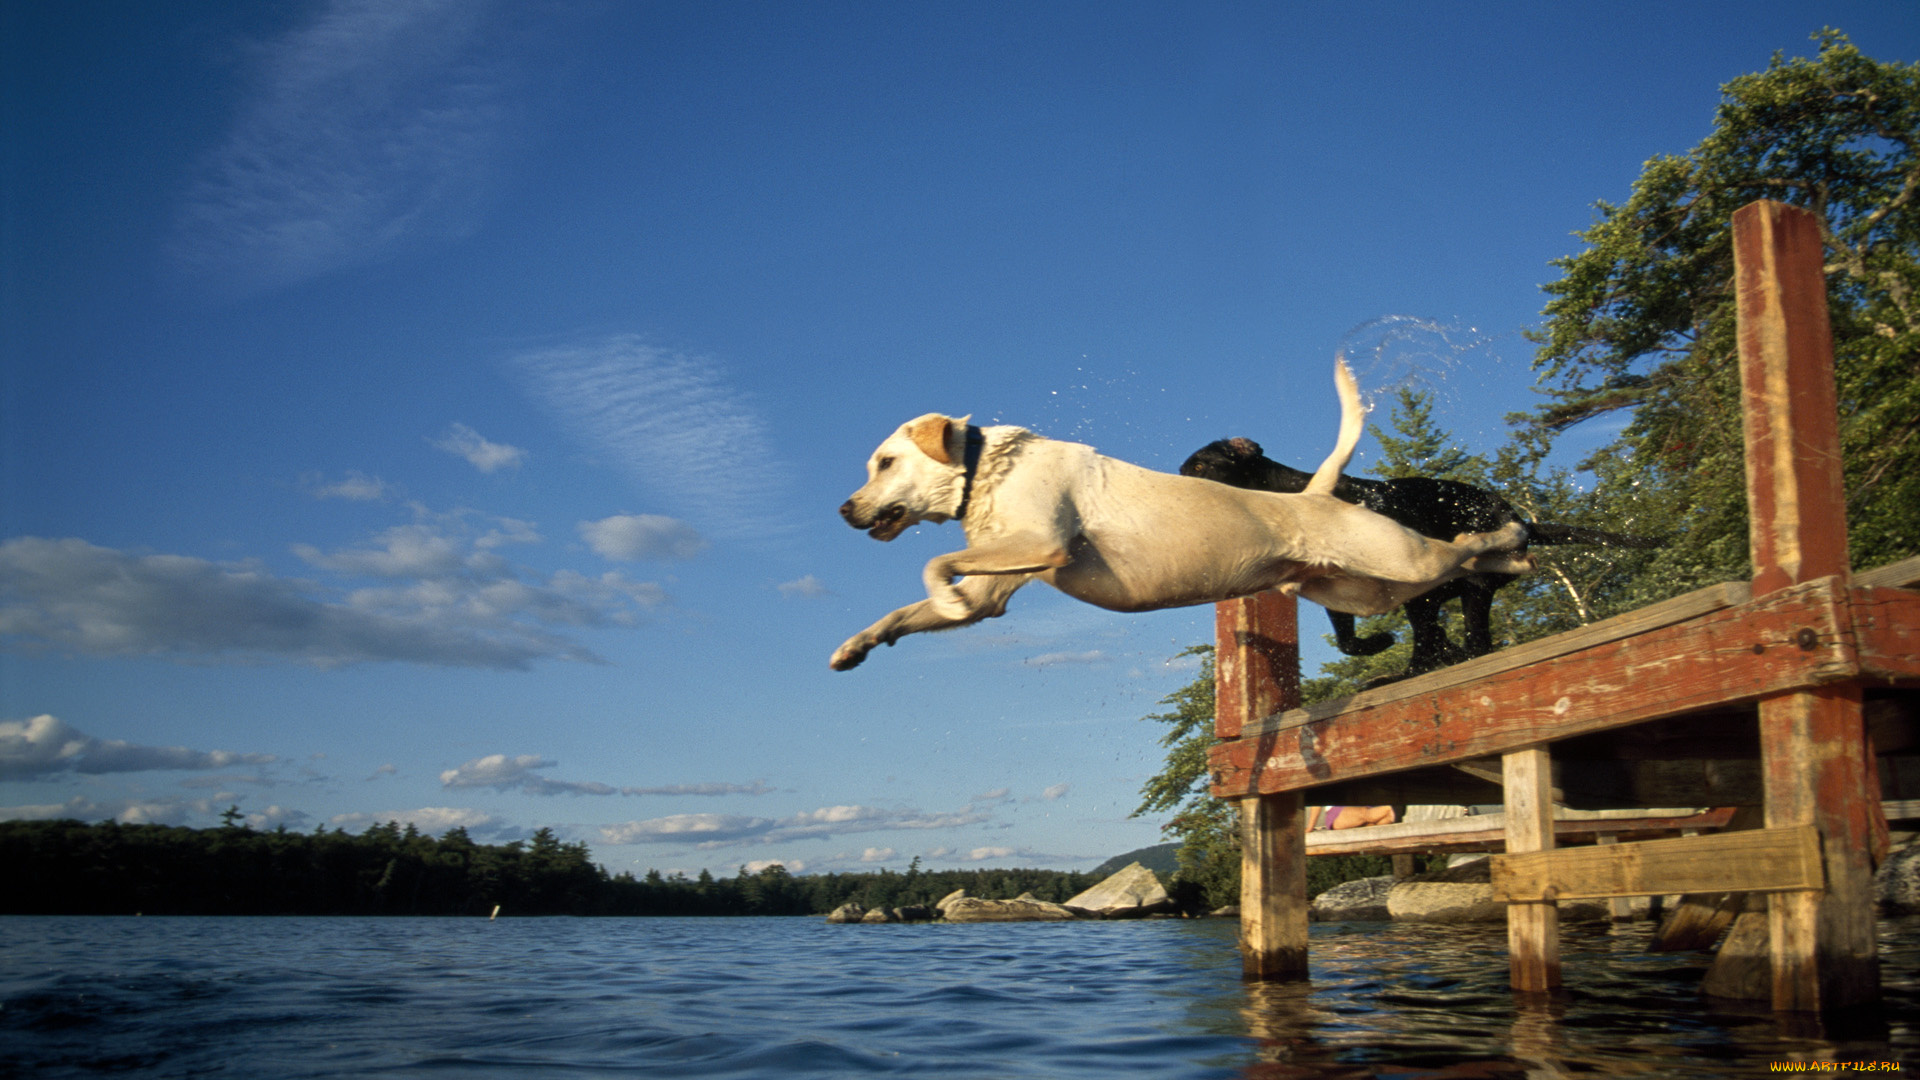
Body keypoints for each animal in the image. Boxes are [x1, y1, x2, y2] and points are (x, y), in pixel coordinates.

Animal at [833, 359, 1536, 664]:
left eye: (885, 463)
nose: (843, 509)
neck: (984, 467)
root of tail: (1312, 494)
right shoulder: (994, 592)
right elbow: (905, 612)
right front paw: (854, 647)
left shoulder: (1041, 541)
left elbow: (934, 564)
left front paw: (942, 598)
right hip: (1365, 592)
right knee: (1445, 583)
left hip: (1403, 558)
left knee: (1465, 549)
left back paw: (1513, 538)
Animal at [1175, 434, 1658, 672]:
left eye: (1199, 467)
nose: (1174, 484)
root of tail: (1523, 519)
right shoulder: (1341, 595)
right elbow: (1350, 642)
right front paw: (1382, 644)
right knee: (1446, 640)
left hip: (1468, 588)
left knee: (1473, 643)